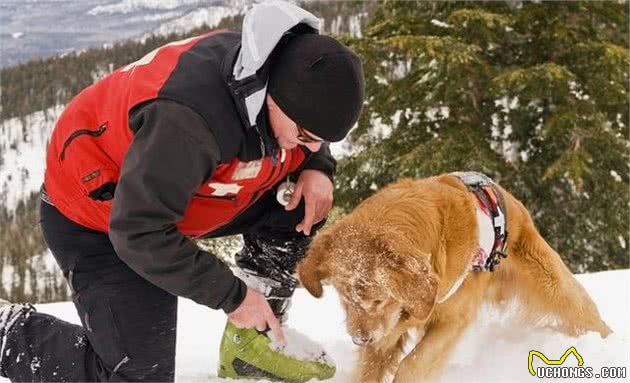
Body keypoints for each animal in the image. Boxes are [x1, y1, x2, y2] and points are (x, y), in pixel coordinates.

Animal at [298, 173, 616, 383]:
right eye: (344, 298)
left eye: (379, 299)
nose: (360, 339)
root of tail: (510, 199)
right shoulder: (387, 332)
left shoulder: (452, 319)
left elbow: (412, 364)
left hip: (552, 285)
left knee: (585, 312)